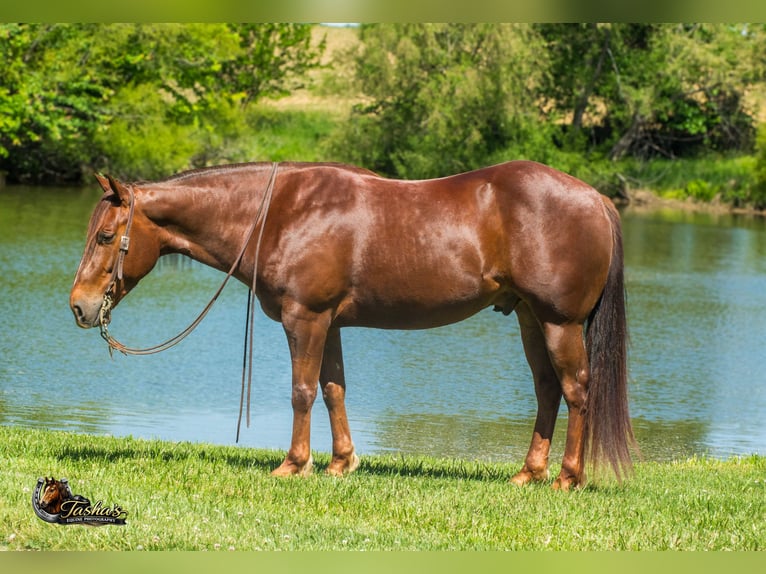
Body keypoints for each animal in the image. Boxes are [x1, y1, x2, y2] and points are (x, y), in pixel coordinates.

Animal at [70, 160, 635, 490]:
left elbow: (301, 391)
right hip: (529, 318)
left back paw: (567, 477)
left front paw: (295, 464)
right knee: (547, 391)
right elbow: (333, 389)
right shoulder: (330, 324)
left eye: (105, 236)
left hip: (559, 322)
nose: (78, 306)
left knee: (576, 390)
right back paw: (528, 473)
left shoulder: (305, 317)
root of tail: (596, 198)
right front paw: (341, 462)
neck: (281, 211)